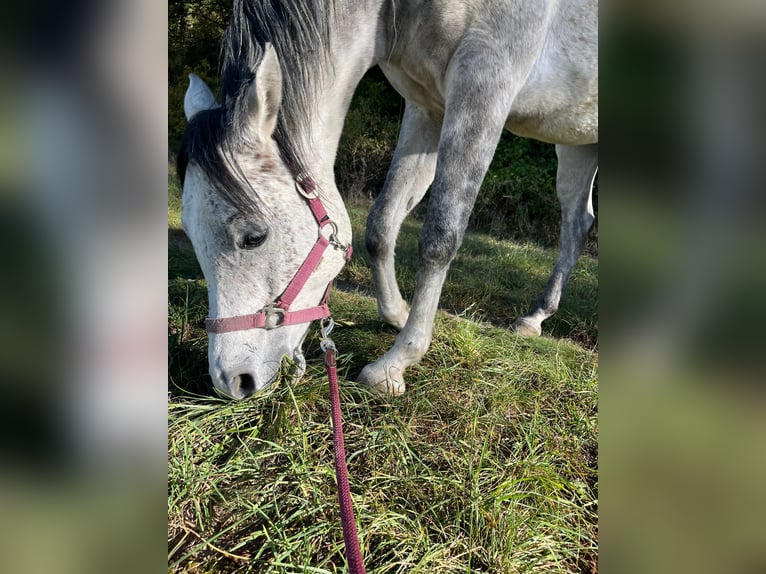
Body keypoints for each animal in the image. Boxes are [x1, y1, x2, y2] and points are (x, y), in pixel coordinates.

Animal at [178, 0, 600, 400]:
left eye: (254, 237)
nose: (231, 381)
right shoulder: (427, 106)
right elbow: (382, 224)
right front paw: (397, 314)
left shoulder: (484, 88)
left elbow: (440, 238)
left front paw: (394, 364)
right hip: (577, 146)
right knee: (577, 222)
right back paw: (535, 317)